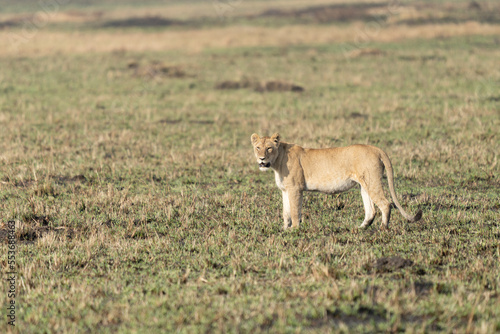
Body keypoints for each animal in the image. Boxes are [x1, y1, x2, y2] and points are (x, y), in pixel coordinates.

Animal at [250, 133, 422, 230]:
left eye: (269, 148)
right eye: (258, 147)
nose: (262, 159)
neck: (277, 162)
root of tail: (376, 148)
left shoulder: (295, 188)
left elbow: (294, 211)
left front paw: (295, 229)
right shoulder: (285, 190)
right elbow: (285, 212)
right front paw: (285, 229)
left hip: (372, 181)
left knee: (386, 204)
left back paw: (383, 228)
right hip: (364, 184)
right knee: (371, 210)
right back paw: (360, 228)